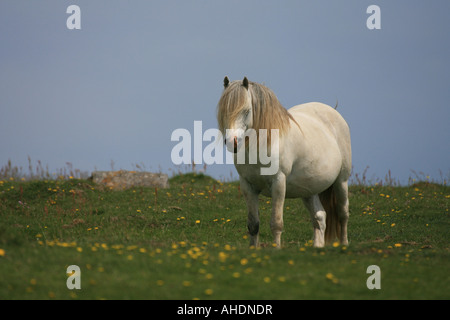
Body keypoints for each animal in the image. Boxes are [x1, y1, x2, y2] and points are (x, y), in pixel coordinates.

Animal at [218, 77, 352, 248]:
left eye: (246, 111)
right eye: (224, 111)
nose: (232, 143)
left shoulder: (278, 183)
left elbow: (276, 223)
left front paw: (277, 249)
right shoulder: (248, 186)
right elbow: (253, 225)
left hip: (341, 181)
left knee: (343, 213)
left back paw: (344, 244)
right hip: (308, 191)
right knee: (320, 218)